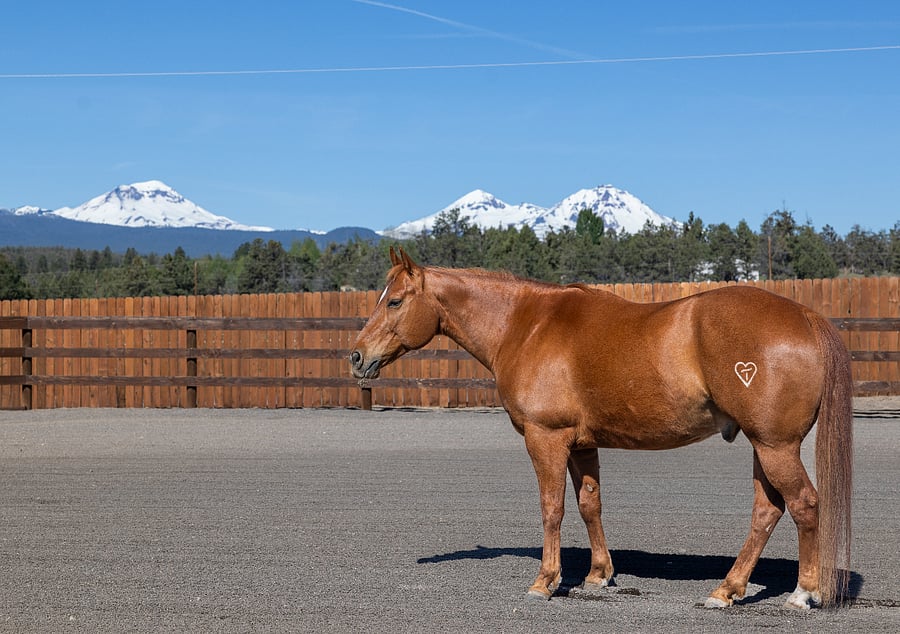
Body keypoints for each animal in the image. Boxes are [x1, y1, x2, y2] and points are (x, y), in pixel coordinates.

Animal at [350, 247, 853, 609]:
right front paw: (597, 575)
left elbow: (552, 508)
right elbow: (590, 505)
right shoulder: (580, 444)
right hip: (763, 446)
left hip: (774, 446)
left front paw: (545, 581)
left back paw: (802, 593)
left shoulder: (546, 439)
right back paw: (726, 590)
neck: (526, 325)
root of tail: (806, 317)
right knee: (767, 511)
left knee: (804, 505)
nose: (356, 357)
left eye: (394, 301)